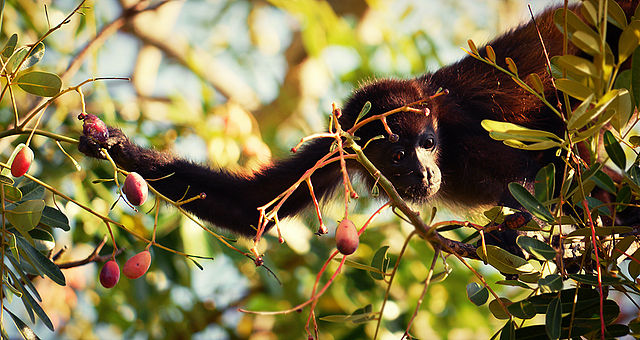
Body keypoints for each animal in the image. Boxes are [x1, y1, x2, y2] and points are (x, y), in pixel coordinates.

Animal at [79, 1, 640, 250]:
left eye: (428, 143)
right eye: (397, 154)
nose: (426, 173)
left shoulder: (468, 130)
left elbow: (552, 133)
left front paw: (510, 230)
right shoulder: (337, 146)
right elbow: (255, 208)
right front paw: (116, 145)